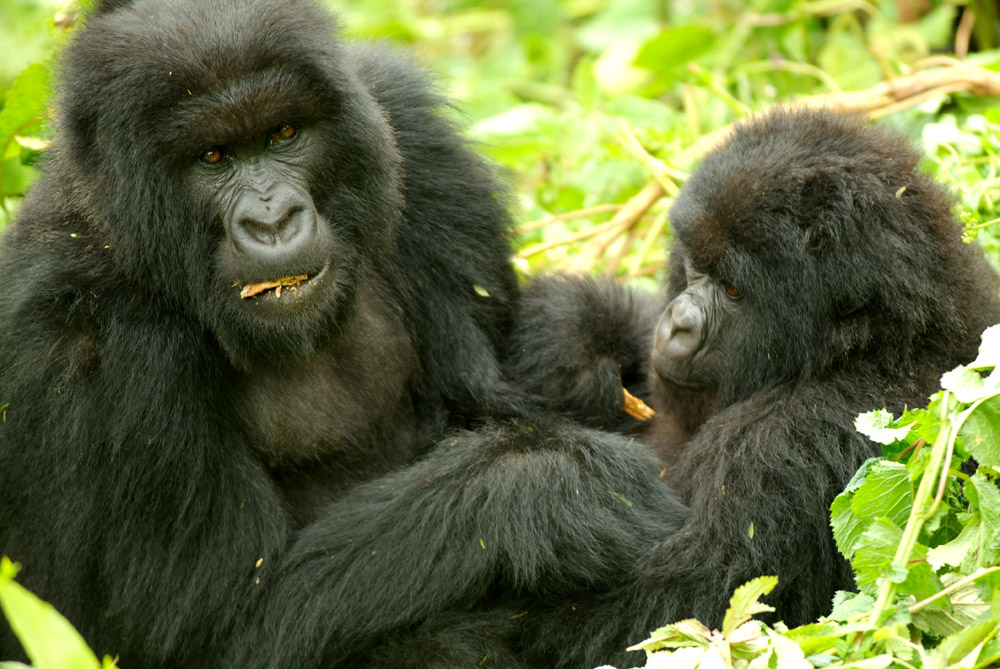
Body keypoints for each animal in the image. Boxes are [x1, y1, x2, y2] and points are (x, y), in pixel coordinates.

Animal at [0, 1, 688, 668]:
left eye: (284, 134)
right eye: (212, 157)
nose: (274, 219)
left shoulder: (410, 132)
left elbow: (503, 385)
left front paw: (588, 342)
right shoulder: (86, 336)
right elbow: (224, 630)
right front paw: (557, 488)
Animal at [508, 107, 1000, 664]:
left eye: (732, 291)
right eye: (695, 265)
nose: (677, 324)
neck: (878, 343)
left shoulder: (790, 443)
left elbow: (657, 625)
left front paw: (516, 493)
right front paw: (573, 331)